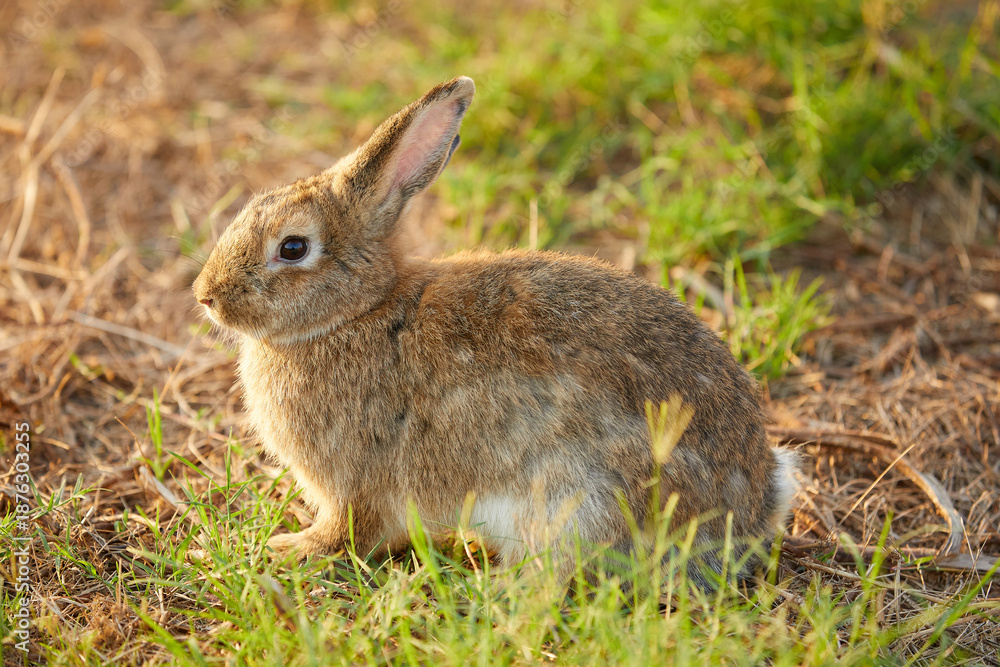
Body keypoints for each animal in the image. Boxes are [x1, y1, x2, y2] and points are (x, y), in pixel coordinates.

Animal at [193, 76, 798, 585]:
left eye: (293, 248)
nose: (205, 295)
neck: (357, 312)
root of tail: (752, 509)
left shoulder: (355, 481)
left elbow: (348, 532)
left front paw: (290, 549)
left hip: (575, 497)